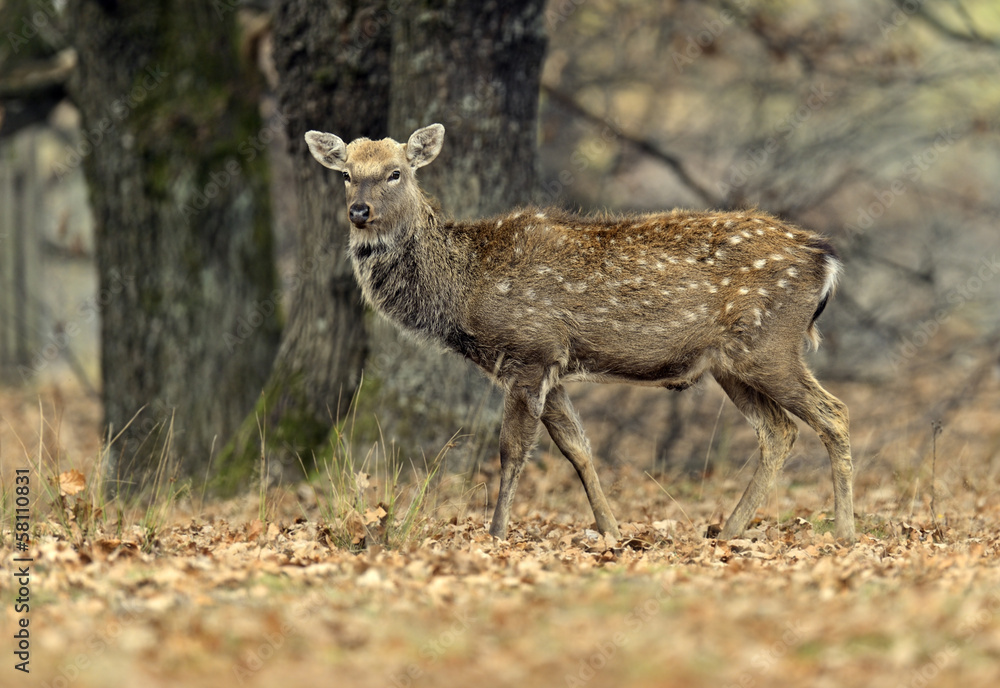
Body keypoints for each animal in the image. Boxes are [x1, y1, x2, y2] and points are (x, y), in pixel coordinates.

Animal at [300, 122, 856, 544]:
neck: (464, 289)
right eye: (346, 174)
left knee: (833, 414)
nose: (359, 212)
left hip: (770, 343)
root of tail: (826, 260)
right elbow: (578, 448)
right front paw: (612, 530)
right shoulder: (553, 364)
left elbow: (512, 450)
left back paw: (844, 531)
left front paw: (496, 533)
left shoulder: (528, 350)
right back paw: (729, 530)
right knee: (778, 430)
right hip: (730, 362)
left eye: (395, 172)